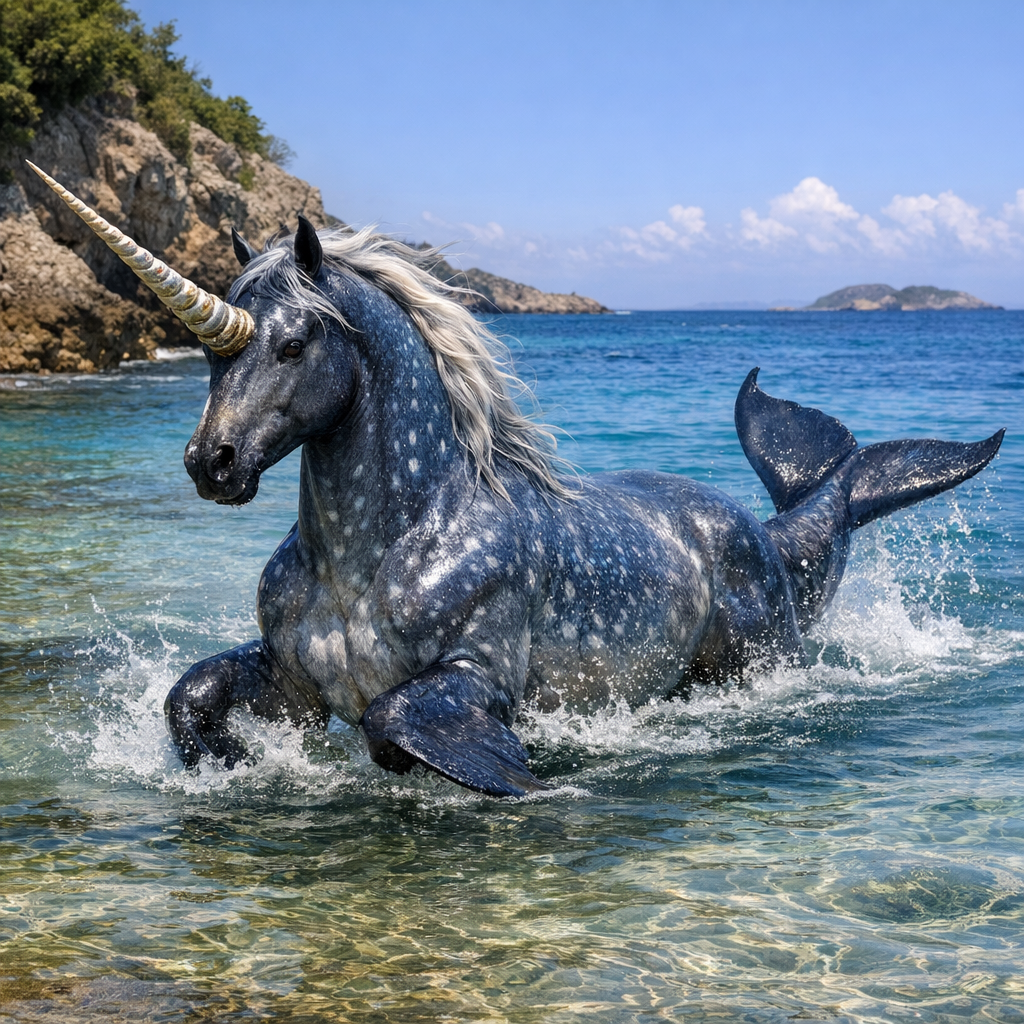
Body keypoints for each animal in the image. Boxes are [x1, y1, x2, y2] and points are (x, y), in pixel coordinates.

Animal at [28, 163, 1005, 797]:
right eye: (206, 350)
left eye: (295, 344)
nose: (213, 462)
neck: (385, 546)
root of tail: (795, 514)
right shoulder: (287, 674)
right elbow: (189, 697)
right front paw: (238, 765)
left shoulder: (479, 669)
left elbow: (393, 725)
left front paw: (518, 776)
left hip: (756, 659)